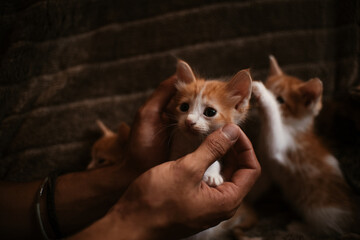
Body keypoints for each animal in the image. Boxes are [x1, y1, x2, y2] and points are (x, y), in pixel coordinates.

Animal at [252, 55, 358, 235]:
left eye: (280, 100)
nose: (258, 104)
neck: (293, 126)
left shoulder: (280, 146)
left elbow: (274, 125)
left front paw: (263, 95)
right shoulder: (267, 169)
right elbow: (259, 182)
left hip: (320, 208)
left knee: (329, 230)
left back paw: (298, 227)